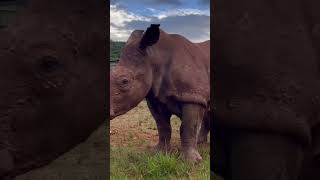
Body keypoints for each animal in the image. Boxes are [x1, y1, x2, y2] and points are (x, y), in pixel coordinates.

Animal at [109, 23, 210, 163]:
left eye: (125, 81)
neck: (155, 57)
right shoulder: (155, 98)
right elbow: (162, 126)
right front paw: (160, 154)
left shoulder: (193, 97)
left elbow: (188, 127)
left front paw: (191, 162)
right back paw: (200, 143)